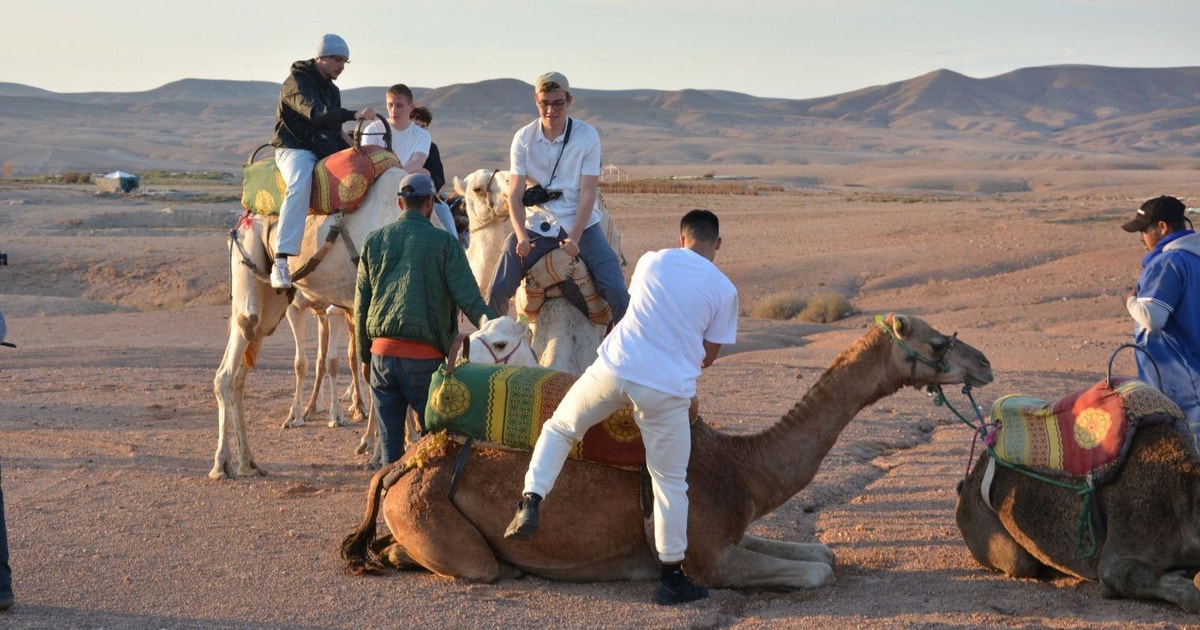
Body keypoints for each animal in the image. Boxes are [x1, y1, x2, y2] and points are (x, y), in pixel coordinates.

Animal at [340, 312, 993, 588]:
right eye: (938, 341)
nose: (983, 363)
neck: (743, 469)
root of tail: (405, 465)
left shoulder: (729, 531)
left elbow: (823, 554)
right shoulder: (709, 559)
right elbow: (815, 573)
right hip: (435, 516)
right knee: (468, 564)